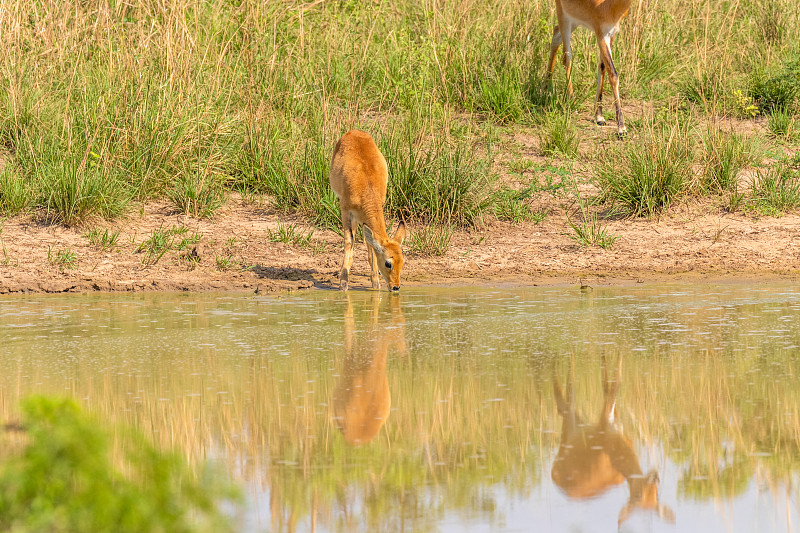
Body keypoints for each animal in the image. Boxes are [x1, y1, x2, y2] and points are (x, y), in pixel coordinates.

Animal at [330, 131, 406, 294]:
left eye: (403, 261)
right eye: (388, 263)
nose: (395, 287)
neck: (367, 187)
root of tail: (354, 132)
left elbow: (371, 245)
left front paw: (375, 284)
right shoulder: (345, 211)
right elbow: (349, 241)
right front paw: (343, 284)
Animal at [548, 0, 636, 137]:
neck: (609, 5)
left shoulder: (611, 33)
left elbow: (602, 66)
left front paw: (599, 117)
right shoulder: (601, 33)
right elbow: (613, 74)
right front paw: (621, 129)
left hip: (575, 20)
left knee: (556, 35)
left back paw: (545, 85)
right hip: (564, 16)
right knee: (566, 57)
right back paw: (572, 102)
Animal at [552, 356, 680, 524]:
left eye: (656, 496)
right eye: (638, 496)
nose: (655, 478)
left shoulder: (617, 423)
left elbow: (609, 382)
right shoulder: (605, 420)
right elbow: (615, 383)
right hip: (570, 423)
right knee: (564, 402)